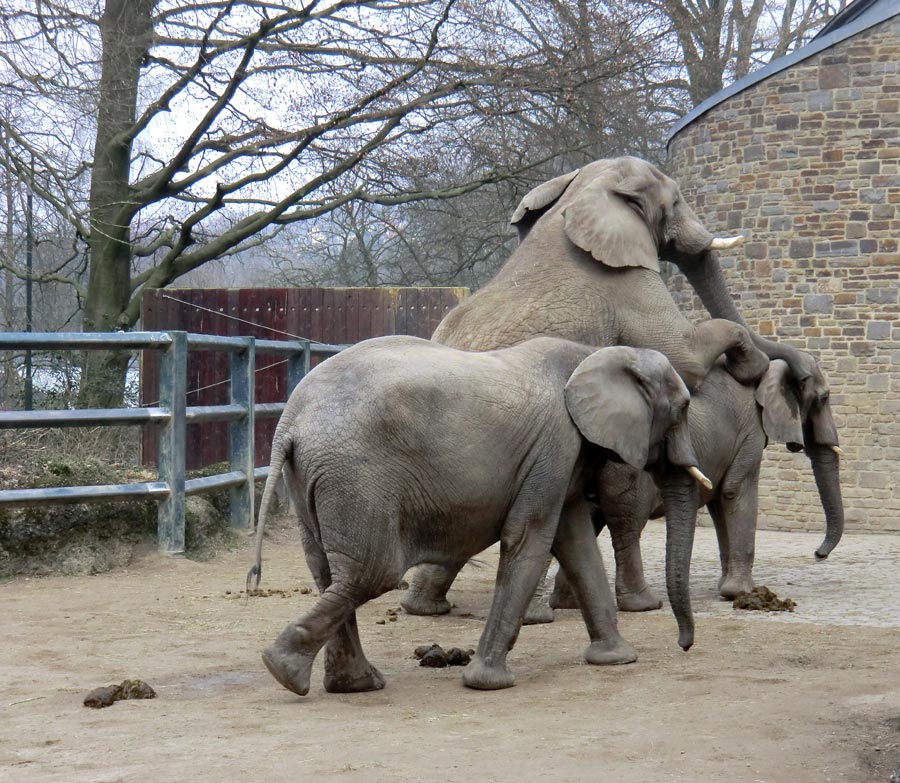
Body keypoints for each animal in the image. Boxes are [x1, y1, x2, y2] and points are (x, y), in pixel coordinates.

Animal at [248, 340, 712, 696]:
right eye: (682, 409)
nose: (684, 646)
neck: (595, 354)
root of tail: (290, 422)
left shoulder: (561, 458)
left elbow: (575, 542)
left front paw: (616, 659)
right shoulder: (554, 446)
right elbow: (528, 540)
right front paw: (488, 683)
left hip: (313, 477)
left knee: (328, 571)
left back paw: (344, 683)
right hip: (356, 476)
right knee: (370, 573)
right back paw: (284, 670)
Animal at [544, 356, 848, 620]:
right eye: (823, 398)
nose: (818, 555)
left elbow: (719, 504)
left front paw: (727, 588)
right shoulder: (750, 432)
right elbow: (736, 491)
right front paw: (740, 592)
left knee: (588, 519)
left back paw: (567, 603)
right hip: (627, 467)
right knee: (627, 525)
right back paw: (644, 604)